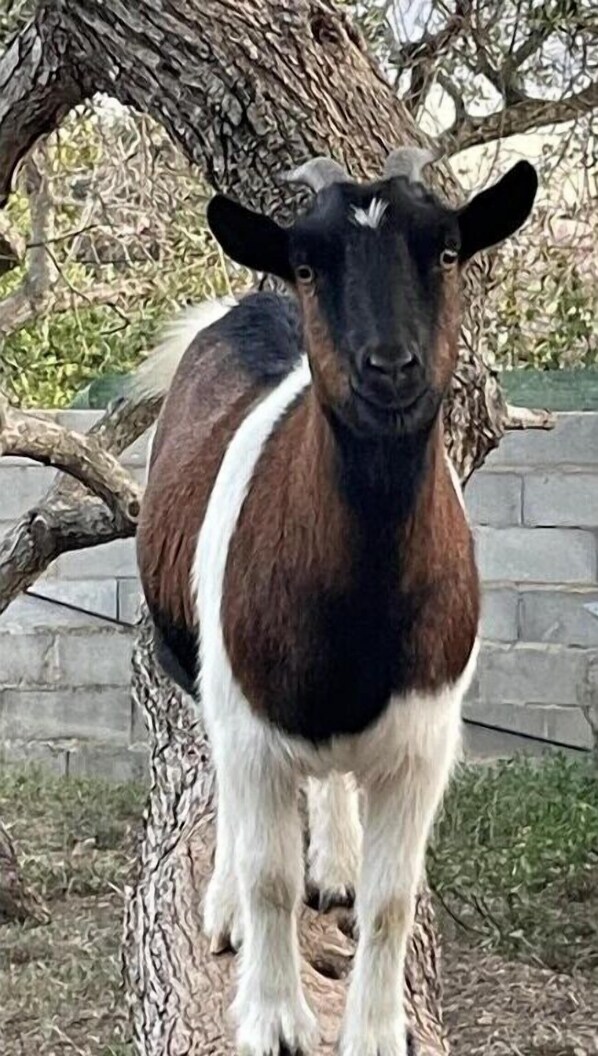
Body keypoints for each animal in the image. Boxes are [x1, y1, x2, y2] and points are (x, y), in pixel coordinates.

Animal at [136, 147, 537, 1056]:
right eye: (310, 264)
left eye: (448, 249)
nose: (389, 367)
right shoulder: (249, 717)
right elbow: (269, 877)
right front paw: (274, 1021)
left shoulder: (425, 737)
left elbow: (393, 900)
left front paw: (378, 1030)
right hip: (198, 666)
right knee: (229, 797)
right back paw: (224, 908)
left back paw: (340, 862)